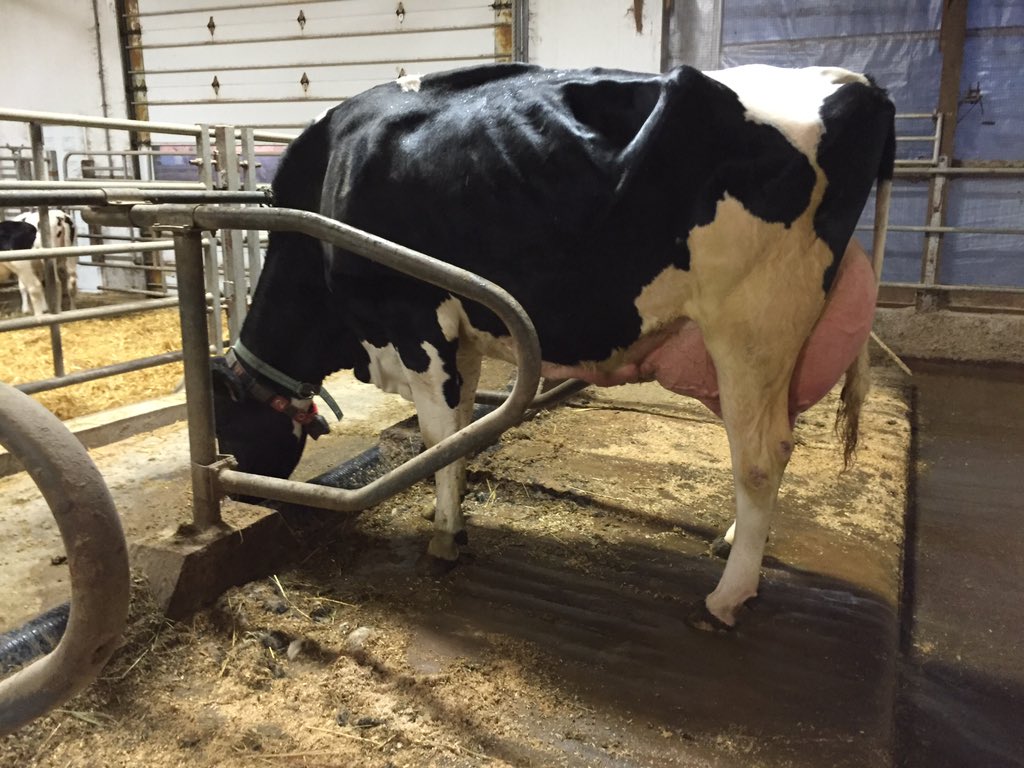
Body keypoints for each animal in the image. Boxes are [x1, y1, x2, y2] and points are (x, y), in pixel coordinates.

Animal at [211, 63, 895, 630]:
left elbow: (437, 434)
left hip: (750, 327)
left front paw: (445, 537)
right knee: (776, 441)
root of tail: (855, 82)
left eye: (222, 422)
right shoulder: (459, 337)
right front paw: (447, 513)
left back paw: (726, 598)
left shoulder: (413, 325)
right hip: (783, 346)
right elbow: (459, 430)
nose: (241, 492)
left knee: (760, 456)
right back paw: (733, 542)